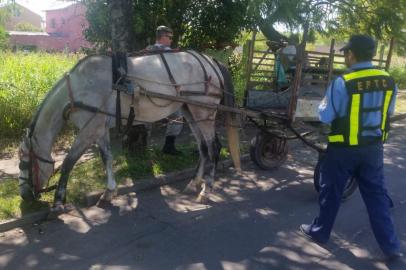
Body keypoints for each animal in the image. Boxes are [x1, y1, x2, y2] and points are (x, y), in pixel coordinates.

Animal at [18, 51, 241, 211]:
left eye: (24, 162)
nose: (24, 197)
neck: (79, 88)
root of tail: (210, 61)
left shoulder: (89, 129)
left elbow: (68, 162)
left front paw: (58, 201)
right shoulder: (99, 129)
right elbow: (106, 158)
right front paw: (109, 192)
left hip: (205, 111)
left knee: (213, 147)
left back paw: (206, 189)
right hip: (191, 111)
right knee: (203, 148)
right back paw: (194, 183)